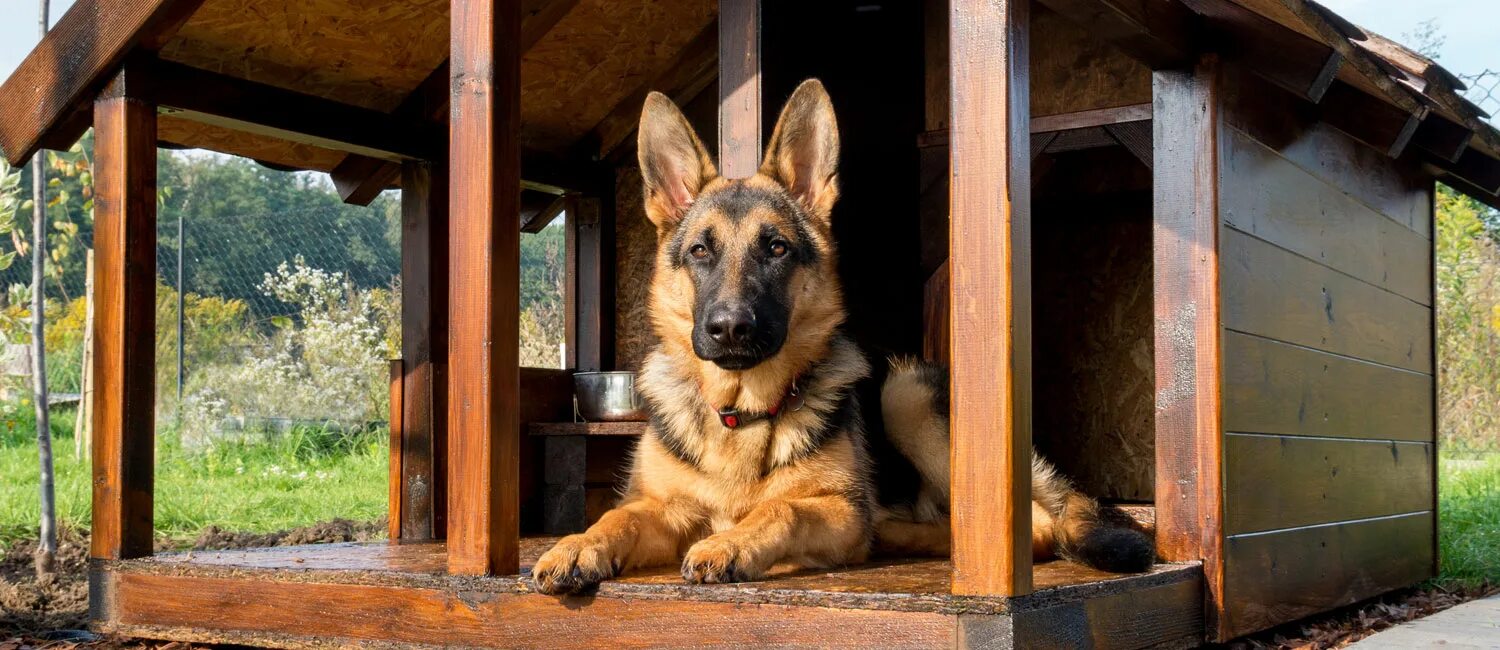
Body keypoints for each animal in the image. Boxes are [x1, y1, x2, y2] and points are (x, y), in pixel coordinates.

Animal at [534, 77, 1152, 591]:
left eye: (775, 248)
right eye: (700, 251)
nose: (730, 328)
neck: (740, 413)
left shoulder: (831, 507)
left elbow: (783, 508)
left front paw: (731, 543)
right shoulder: (663, 507)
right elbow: (615, 516)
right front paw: (576, 545)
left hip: (905, 395)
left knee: (1036, 525)